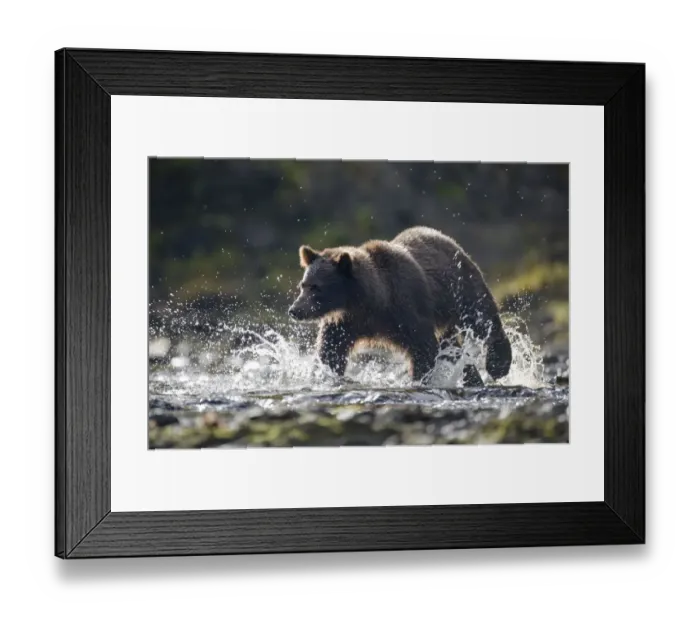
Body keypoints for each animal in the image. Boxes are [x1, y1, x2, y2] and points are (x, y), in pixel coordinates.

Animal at [288, 226, 512, 385]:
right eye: (303, 285)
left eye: (316, 287)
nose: (295, 310)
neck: (371, 302)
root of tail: (449, 240)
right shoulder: (344, 323)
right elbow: (330, 352)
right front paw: (326, 375)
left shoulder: (407, 310)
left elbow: (423, 348)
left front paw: (419, 380)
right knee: (451, 346)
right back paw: (472, 378)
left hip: (460, 287)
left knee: (482, 318)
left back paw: (498, 365)